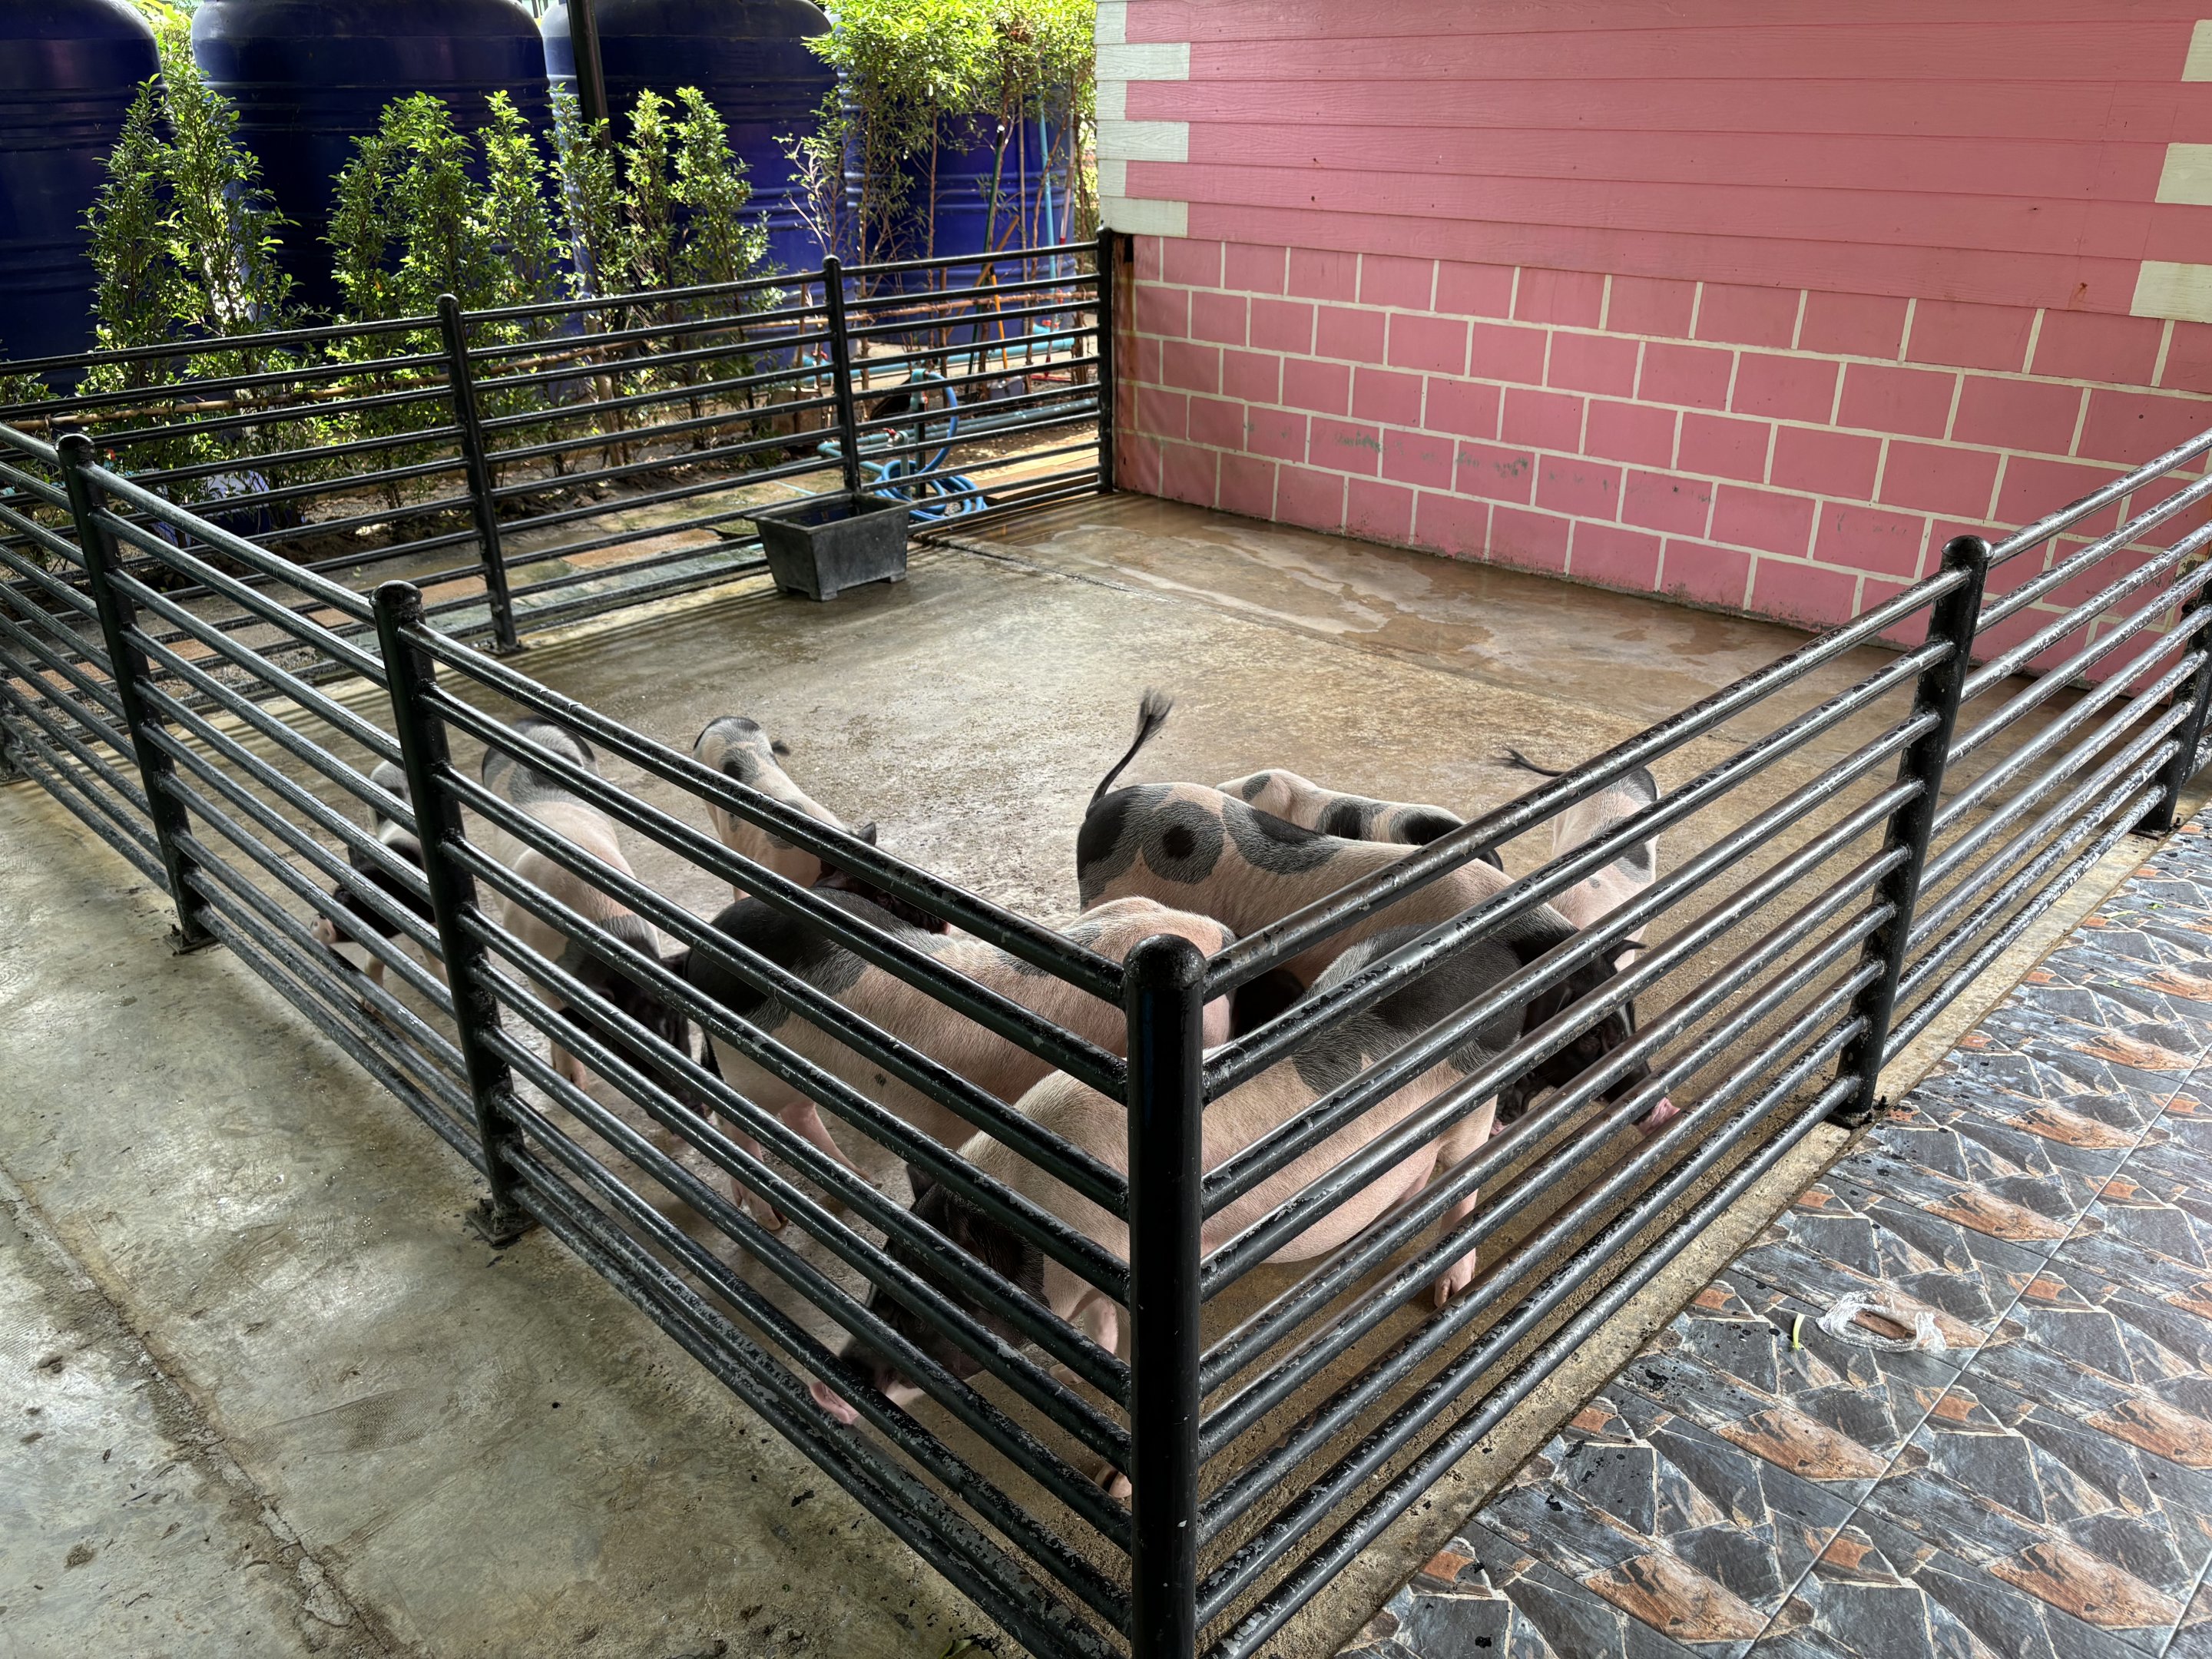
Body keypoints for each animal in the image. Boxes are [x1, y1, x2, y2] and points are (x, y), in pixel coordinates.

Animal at [681, 892, 1233, 1227]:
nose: (1226, 931)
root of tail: (698, 952)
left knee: (798, 1111)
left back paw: (859, 1180)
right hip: (743, 1061)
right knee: (736, 1122)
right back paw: (769, 1218)